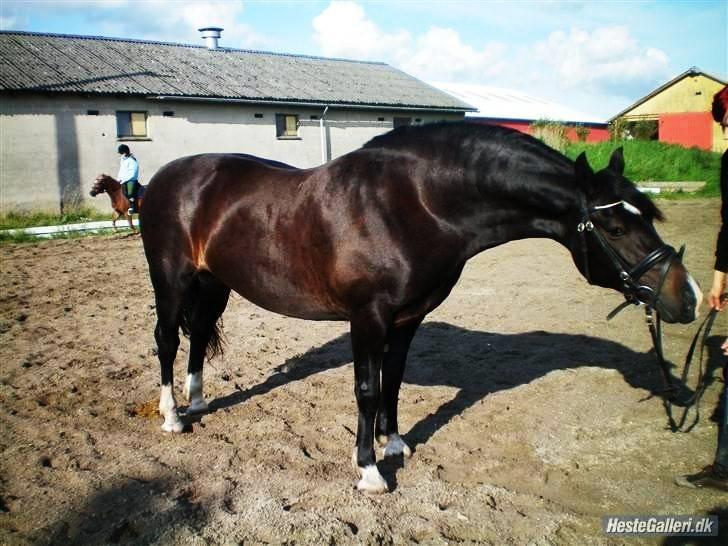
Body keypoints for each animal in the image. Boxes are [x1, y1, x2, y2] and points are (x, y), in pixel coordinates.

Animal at [139, 121, 704, 490]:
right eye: (615, 227)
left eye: (648, 216)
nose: (689, 297)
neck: (413, 203)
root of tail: (164, 178)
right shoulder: (368, 317)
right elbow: (367, 388)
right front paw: (369, 470)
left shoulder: (408, 319)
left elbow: (393, 381)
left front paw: (394, 445)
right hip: (171, 280)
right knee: (167, 339)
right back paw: (171, 416)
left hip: (213, 283)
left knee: (196, 336)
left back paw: (197, 403)